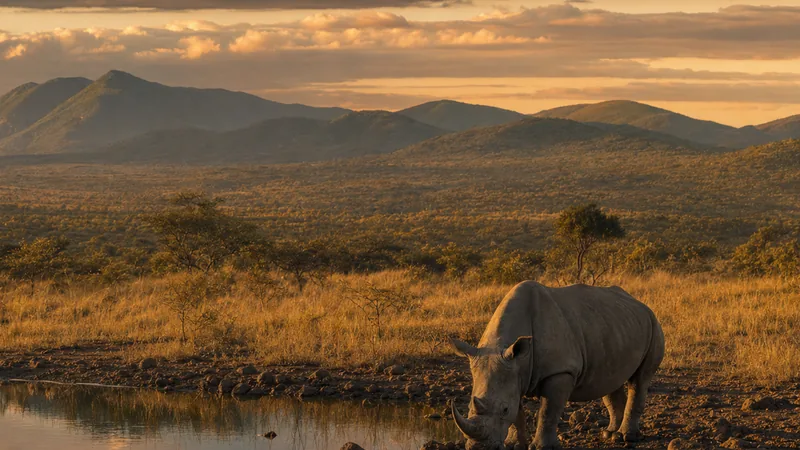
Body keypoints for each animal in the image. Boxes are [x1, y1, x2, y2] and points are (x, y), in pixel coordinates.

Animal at [450, 281, 664, 450]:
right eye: (468, 406)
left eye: (503, 410)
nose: (479, 448)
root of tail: (641, 304)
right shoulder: (514, 370)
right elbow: (517, 412)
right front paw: (514, 445)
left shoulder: (560, 372)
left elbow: (548, 411)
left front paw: (542, 447)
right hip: (615, 326)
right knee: (611, 379)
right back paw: (610, 435)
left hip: (654, 324)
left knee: (640, 380)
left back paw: (628, 437)